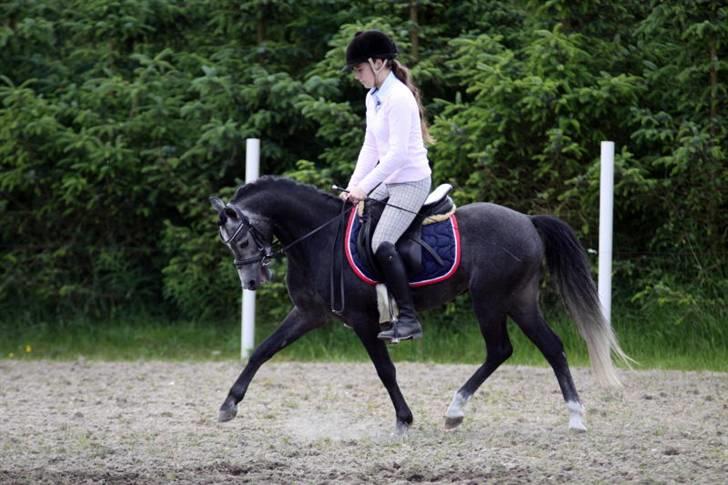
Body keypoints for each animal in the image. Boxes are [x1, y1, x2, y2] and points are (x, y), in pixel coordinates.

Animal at [209, 175, 630, 434]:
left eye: (241, 240)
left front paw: (404, 420)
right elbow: (262, 351)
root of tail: (527, 220)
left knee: (502, 349)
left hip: (492, 298)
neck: (318, 237)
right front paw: (229, 404)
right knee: (548, 347)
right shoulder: (309, 314)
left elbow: (385, 371)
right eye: (229, 245)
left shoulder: (363, 321)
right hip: (519, 299)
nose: (251, 282)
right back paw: (567, 416)